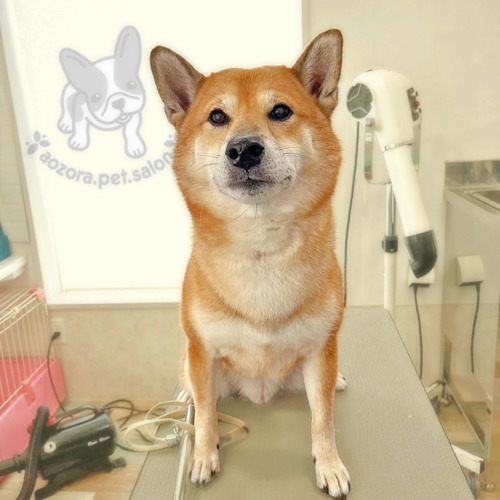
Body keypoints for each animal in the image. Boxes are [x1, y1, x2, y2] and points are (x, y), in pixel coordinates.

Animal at [58, 26, 146, 158]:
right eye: (96, 97)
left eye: (131, 85)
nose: (118, 101)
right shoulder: (80, 111)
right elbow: (80, 126)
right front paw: (79, 141)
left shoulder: (133, 116)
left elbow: (131, 131)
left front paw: (135, 147)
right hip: (67, 95)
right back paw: (66, 123)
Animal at [151, 29, 349, 499]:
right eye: (217, 117)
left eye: (280, 111)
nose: (243, 149)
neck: (261, 250)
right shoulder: (202, 351)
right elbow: (206, 416)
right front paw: (203, 455)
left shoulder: (321, 349)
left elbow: (323, 419)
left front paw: (329, 463)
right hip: (195, 363)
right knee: (194, 393)